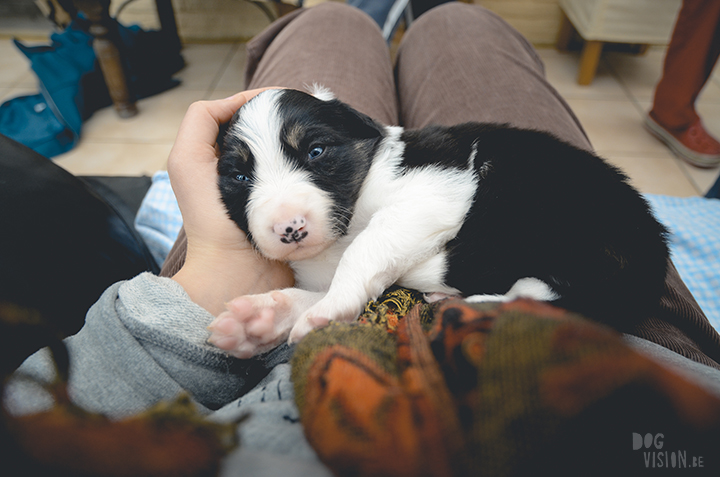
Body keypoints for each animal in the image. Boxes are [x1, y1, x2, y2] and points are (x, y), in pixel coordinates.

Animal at [210, 88, 668, 356]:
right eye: (239, 177)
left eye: (316, 151)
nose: (290, 229)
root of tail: (652, 260)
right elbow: (325, 289)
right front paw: (257, 321)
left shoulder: (435, 188)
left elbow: (365, 249)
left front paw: (324, 310)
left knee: (540, 300)